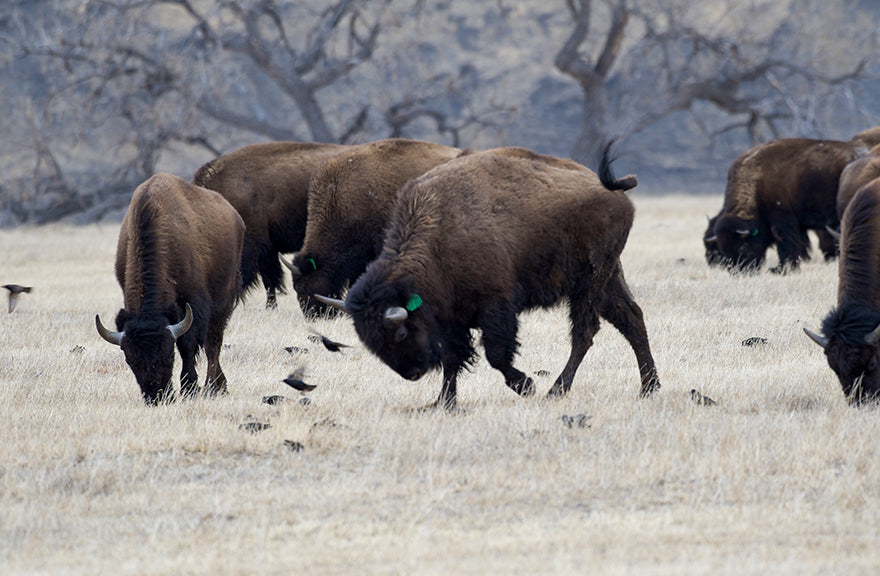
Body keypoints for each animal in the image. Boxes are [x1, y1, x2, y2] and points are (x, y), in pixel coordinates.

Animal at [96, 173, 244, 402]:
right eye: (130, 359)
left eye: (169, 353)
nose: (156, 396)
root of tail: (235, 216)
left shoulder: (193, 305)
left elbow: (188, 344)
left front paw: (190, 388)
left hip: (224, 301)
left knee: (213, 343)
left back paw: (213, 387)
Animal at [704, 137, 864, 272]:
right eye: (722, 248)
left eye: (741, 246)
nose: (739, 271)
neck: (757, 179)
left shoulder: (783, 221)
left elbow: (786, 244)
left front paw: (782, 269)